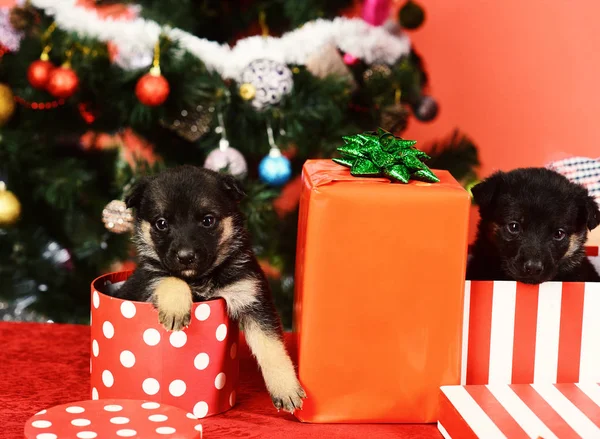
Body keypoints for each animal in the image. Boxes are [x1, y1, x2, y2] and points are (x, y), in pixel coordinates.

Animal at [115, 165, 308, 412]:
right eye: (161, 223)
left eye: (208, 220)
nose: (186, 257)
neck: (202, 278)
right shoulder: (148, 277)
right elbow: (171, 278)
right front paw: (176, 309)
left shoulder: (251, 298)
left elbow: (271, 347)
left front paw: (286, 388)